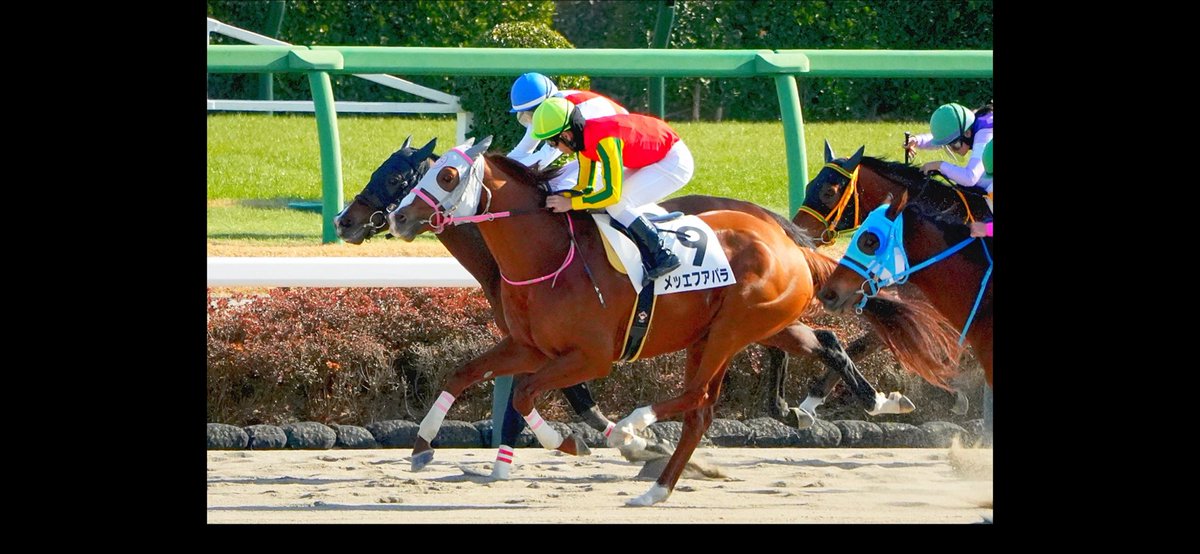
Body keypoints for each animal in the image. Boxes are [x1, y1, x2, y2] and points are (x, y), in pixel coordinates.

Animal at [385, 138, 963, 505]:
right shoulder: (530, 346)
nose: (396, 217)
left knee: (698, 399)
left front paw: (572, 443)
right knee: (799, 352)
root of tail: (791, 243)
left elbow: (527, 394)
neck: (548, 255)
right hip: (756, 325)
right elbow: (463, 373)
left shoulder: (590, 356)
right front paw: (422, 447)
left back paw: (640, 435)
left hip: (731, 330)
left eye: (447, 175)